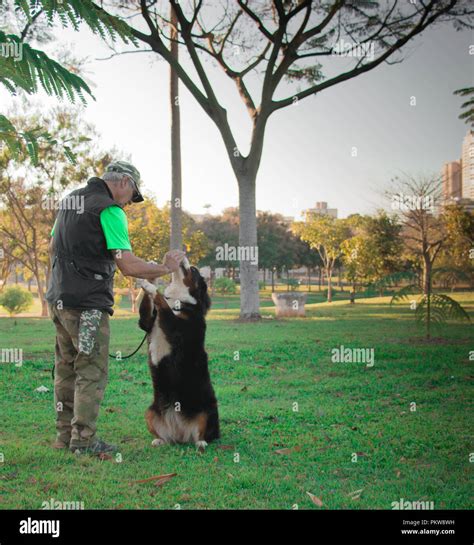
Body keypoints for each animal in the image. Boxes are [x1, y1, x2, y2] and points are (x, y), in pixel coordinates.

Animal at [136, 256, 219, 450]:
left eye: (194, 270)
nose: (183, 256)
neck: (179, 304)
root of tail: (180, 433)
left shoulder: (176, 327)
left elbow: (161, 300)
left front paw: (150, 286)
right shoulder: (147, 322)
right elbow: (148, 310)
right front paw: (150, 277)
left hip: (207, 410)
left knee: (204, 434)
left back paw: (201, 442)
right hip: (150, 411)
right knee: (164, 436)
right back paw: (160, 440)